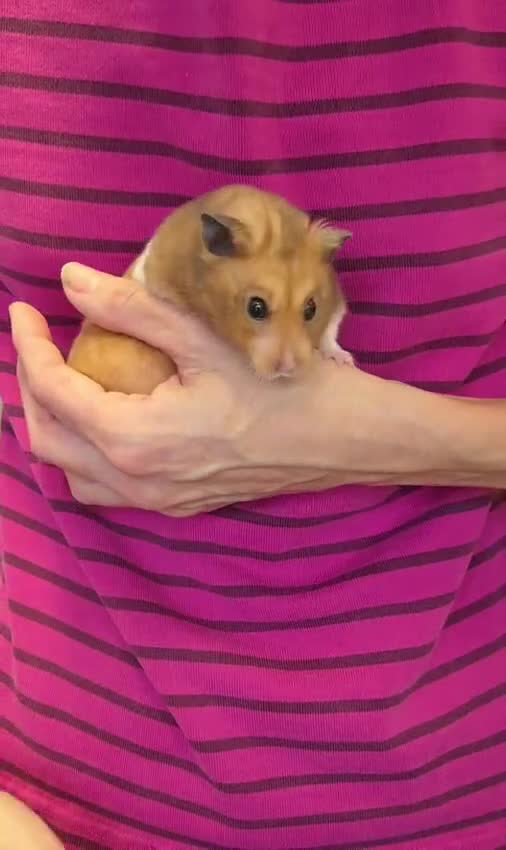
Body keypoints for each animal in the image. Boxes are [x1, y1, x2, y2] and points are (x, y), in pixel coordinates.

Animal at [67, 185, 353, 394]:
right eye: (256, 308)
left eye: (311, 309)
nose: (288, 369)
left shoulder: (336, 305)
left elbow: (330, 332)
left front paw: (342, 359)